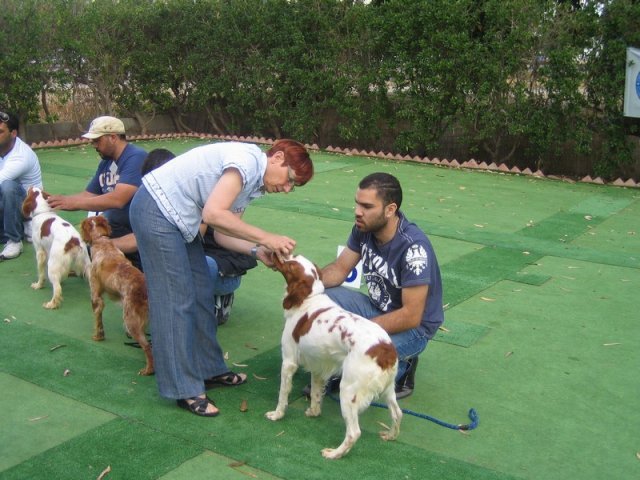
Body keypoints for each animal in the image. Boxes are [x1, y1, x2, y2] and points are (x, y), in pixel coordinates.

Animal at [80, 216, 154, 376]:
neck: (102, 242)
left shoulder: (96, 297)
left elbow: (98, 321)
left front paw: (98, 337)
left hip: (130, 321)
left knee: (147, 346)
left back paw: (148, 370)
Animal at [264, 253, 400, 460]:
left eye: (290, 264)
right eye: (293, 256)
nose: (277, 253)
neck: (308, 298)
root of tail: (386, 349)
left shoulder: (288, 361)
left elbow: (283, 394)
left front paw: (277, 415)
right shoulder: (318, 365)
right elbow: (315, 393)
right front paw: (314, 412)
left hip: (348, 390)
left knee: (354, 432)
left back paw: (334, 453)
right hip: (388, 389)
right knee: (397, 413)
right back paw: (390, 436)